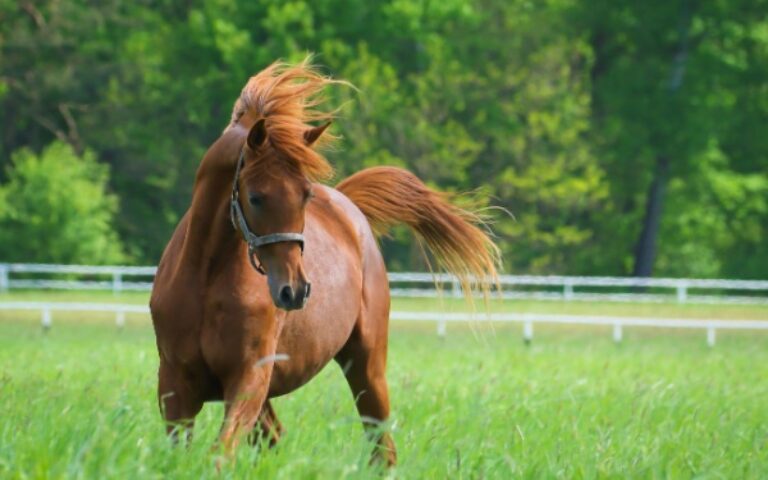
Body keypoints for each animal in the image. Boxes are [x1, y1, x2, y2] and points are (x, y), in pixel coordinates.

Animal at [149, 58, 499, 466]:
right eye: (255, 197)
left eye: (305, 194)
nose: (295, 291)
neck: (206, 280)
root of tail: (349, 208)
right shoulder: (175, 387)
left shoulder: (248, 380)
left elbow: (220, 453)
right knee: (275, 437)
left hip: (366, 366)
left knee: (381, 445)